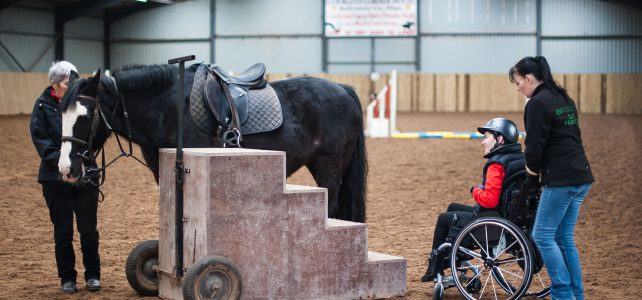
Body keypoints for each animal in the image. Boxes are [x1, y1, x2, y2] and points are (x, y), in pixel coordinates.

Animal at [57, 64, 368, 221]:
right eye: (61, 114)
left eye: (85, 116)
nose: (65, 168)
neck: (167, 108)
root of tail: (343, 89)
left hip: (329, 169)